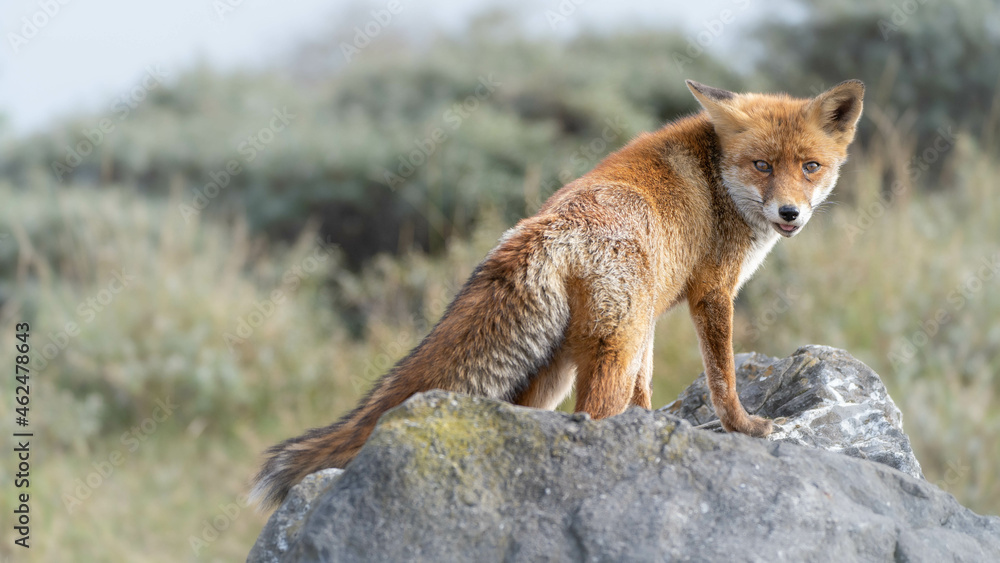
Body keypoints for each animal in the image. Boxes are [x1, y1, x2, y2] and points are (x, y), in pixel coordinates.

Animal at [251, 78, 865, 509]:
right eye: (761, 165)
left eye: (810, 167)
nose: (790, 213)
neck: (718, 181)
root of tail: (546, 226)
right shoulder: (710, 294)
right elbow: (723, 380)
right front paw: (743, 428)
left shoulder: (650, 320)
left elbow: (647, 392)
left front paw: (658, 431)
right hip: (605, 353)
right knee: (592, 417)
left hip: (561, 366)